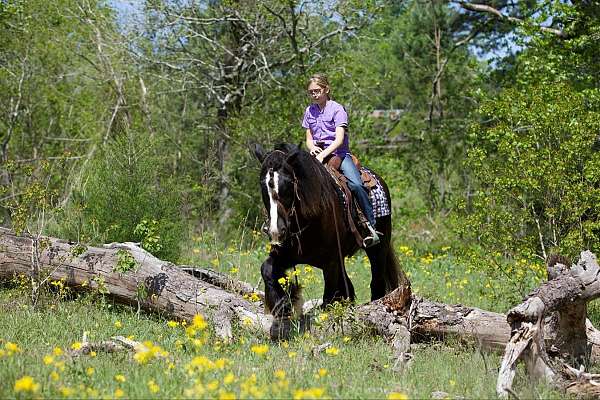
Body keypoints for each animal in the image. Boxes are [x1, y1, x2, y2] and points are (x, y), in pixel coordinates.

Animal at [251, 142, 406, 340]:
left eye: (288, 184)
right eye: (263, 186)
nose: (275, 231)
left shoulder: (330, 261)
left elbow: (329, 295)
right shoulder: (288, 255)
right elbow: (267, 269)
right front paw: (282, 307)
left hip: (378, 248)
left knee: (376, 282)